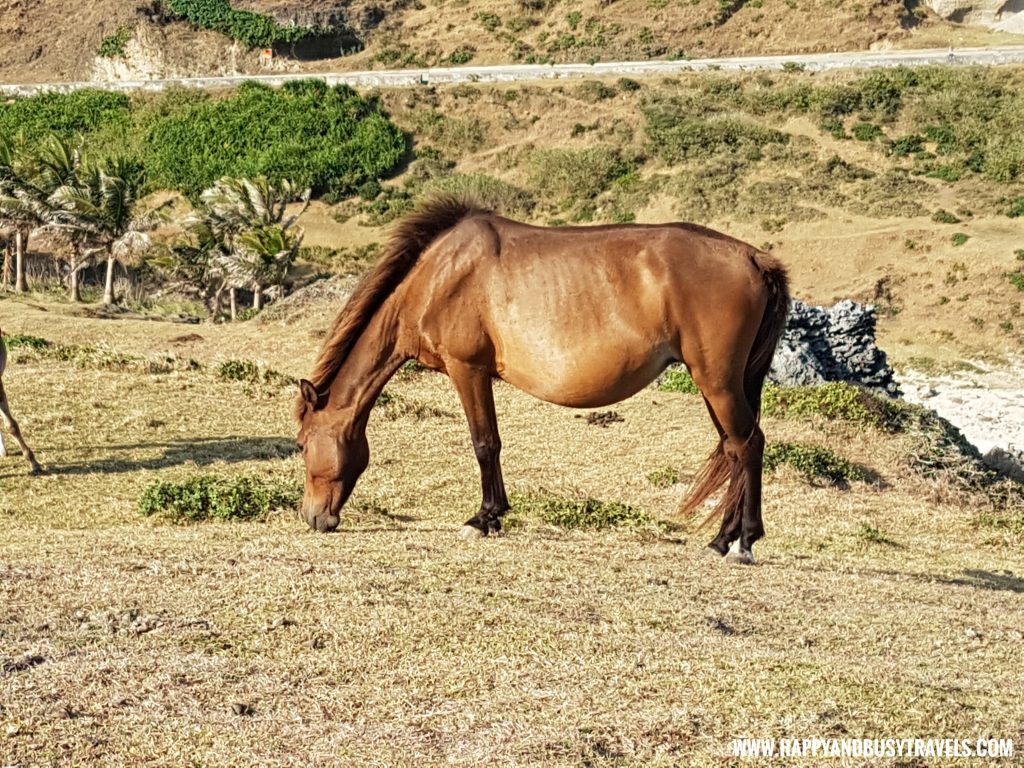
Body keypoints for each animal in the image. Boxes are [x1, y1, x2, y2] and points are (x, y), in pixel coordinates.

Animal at [296, 195, 790, 561]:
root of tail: (753, 257)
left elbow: (485, 444)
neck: (438, 275)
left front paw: (484, 518)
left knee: (748, 445)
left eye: (300, 444)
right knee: (733, 448)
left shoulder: (467, 370)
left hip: (717, 382)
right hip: (719, 384)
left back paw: (741, 542)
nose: (313, 517)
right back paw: (723, 539)